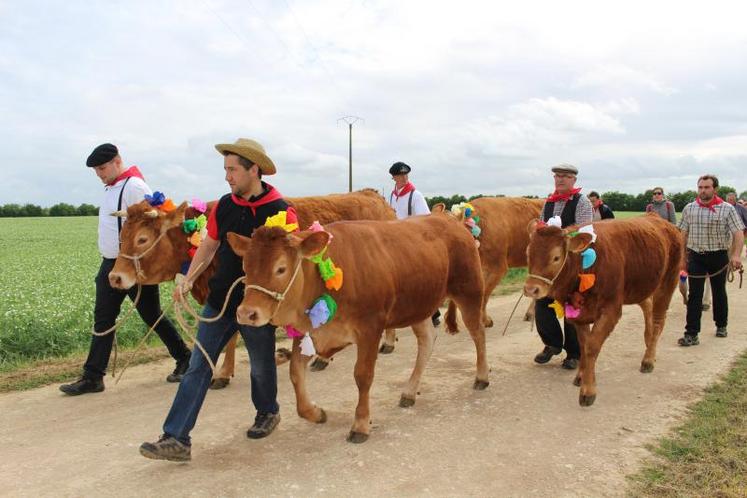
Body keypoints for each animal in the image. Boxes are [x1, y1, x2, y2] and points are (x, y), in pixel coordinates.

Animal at [108, 190, 398, 386]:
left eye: (142, 239)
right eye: (121, 237)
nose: (114, 278)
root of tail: (372, 194)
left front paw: (227, 372)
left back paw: (385, 342)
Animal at [225, 216, 488, 442]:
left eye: (280, 268)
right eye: (245, 267)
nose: (246, 313)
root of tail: (451, 221)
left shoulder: (370, 328)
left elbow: (363, 375)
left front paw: (360, 424)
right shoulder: (311, 333)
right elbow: (295, 375)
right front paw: (316, 413)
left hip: (469, 290)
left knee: (478, 333)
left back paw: (482, 376)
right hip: (418, 305)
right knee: (427, 340)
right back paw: (409, 392)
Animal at [524, 214, 680, 404]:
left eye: (556, 257)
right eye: (528, 253)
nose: (531, 289)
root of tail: (659, 219)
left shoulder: (611, 310)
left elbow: (592, 346)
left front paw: (588, 391)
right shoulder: (579, 315)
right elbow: (584, 346)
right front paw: (581, 376)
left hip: (667, 282)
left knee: (658, 320)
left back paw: (648, 359)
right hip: (639, 288)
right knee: (648, 307)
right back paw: (649, 343)